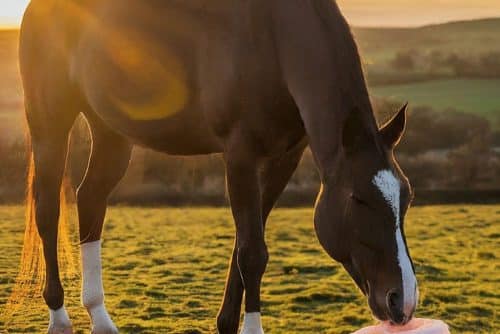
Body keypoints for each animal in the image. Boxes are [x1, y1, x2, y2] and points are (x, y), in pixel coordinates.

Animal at [14, 0, 418, 334]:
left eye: (407, 197)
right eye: (358, 199)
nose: (403, 300)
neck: (275, 40)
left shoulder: (282, 160)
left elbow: (246, 244)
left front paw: (226, 323)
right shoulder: (240, 156)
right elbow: (252, 253)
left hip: (111, 131)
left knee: (90, 200)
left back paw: (100, 317)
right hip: (50, 124)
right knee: (48, 211)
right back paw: (59, 317)